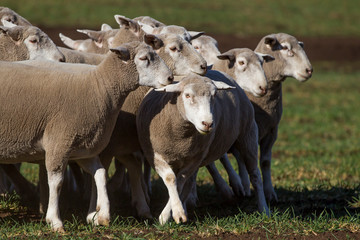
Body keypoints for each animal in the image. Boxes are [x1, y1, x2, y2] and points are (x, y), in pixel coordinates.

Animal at [0, 40, 173, 232]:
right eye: (143, 58)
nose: (170, 78)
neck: (99, 87)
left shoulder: (81, 148)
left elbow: (100, 174)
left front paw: (100, 215)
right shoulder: (59, 142)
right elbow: (57, 182)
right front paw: (55, 221)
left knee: (132, 163)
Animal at [136, 70, 268, 225]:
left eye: (214, 95)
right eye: (187, 95)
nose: (208, 123)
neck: (180, 138)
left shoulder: (195, 158)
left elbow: (179, 182)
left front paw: (173, 214)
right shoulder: (155, 155)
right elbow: (171, 179)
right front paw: (172, 214)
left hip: (248, 134)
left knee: (255, 175)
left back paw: (264, 209)